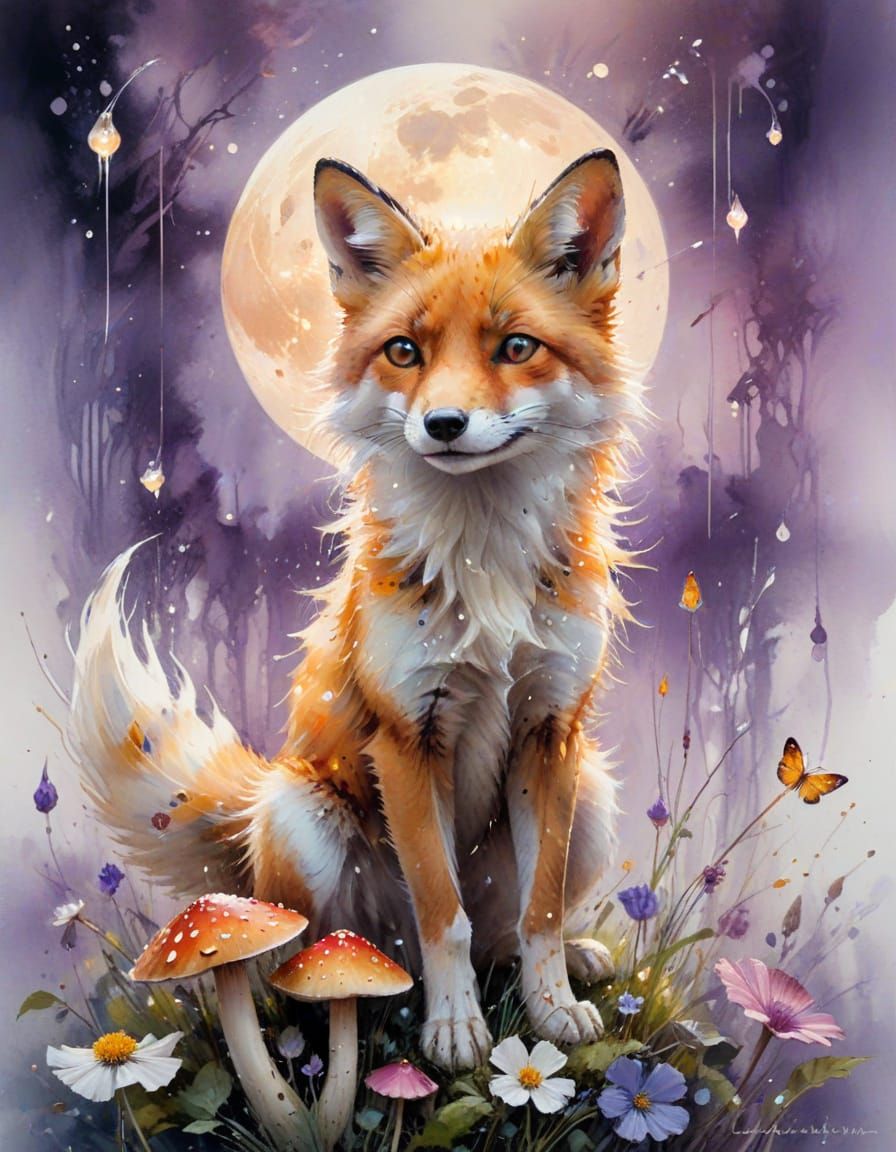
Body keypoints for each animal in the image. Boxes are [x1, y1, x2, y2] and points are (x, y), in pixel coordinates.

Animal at [69, 147, 641, 1072]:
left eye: (516, 346)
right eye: (404, 351)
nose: (444, 423)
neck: (484, 571)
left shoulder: (549, 728)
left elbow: (541, 910)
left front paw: (552, 1011)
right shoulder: (407, 736)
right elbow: (441, 910)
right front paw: (455, 1031)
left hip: (591, 791)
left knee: (503, 934)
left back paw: (572, 964)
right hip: (302, 820)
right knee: (314, 956)